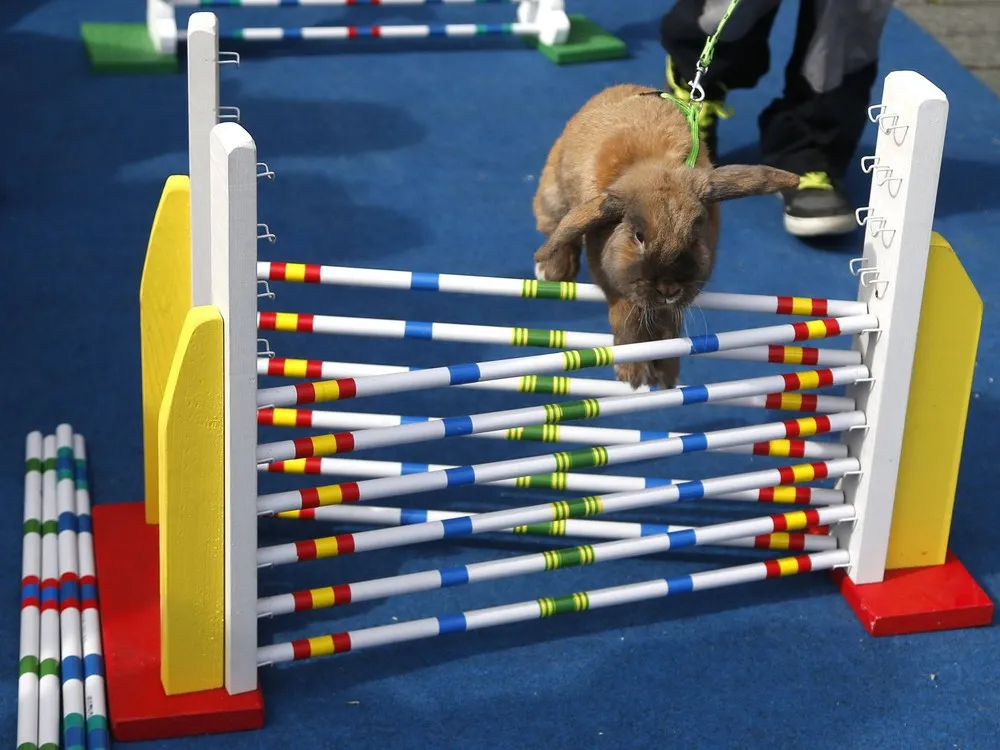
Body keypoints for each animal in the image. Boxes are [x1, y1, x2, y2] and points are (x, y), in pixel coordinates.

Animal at [531, 83, 800, 390]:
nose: (669, 288)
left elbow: (669, 329)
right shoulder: (616, 285)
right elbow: (628, 319)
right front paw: (633, 375)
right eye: (638, 236)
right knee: (555, 230)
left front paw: (667, 375)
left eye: (695, 235)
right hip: (553, 196)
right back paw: (552, 271)